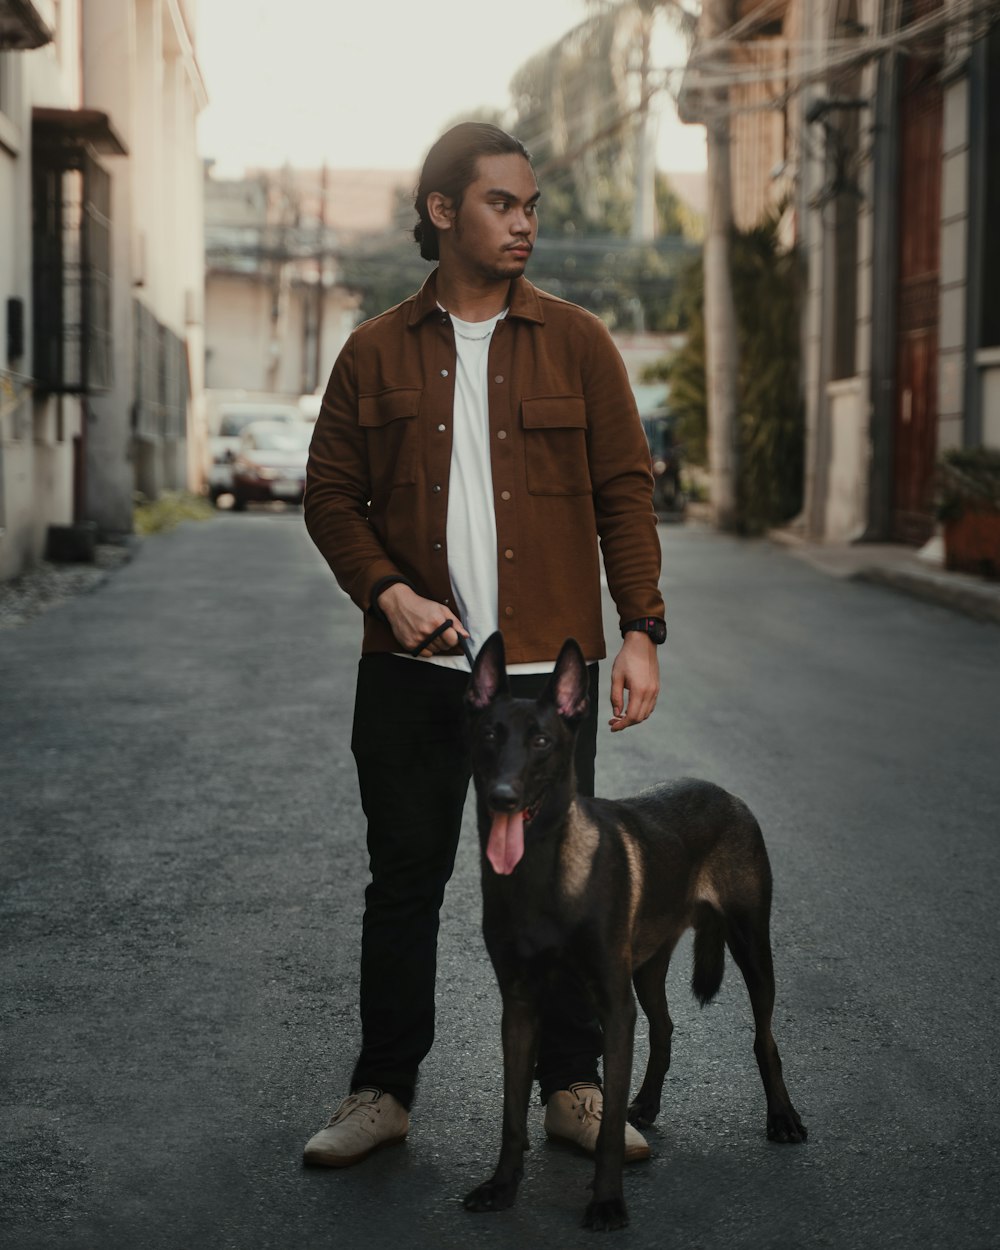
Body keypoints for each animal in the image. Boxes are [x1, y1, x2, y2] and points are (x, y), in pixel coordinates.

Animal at [460, 635, 805, 1230]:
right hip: (647, 968)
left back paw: (782, 1117)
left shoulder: (614, 1008)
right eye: (488, 735)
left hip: (751, 948)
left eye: (542, 741)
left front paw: (606, 1202)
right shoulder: (520, 1007)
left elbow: (608, 1130)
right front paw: (502, 1186)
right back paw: (647, 1102)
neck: (542, 873)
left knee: (764, 1038)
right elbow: (511, 1113)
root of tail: (726, 793)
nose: (502, 796)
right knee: (664, 1027)